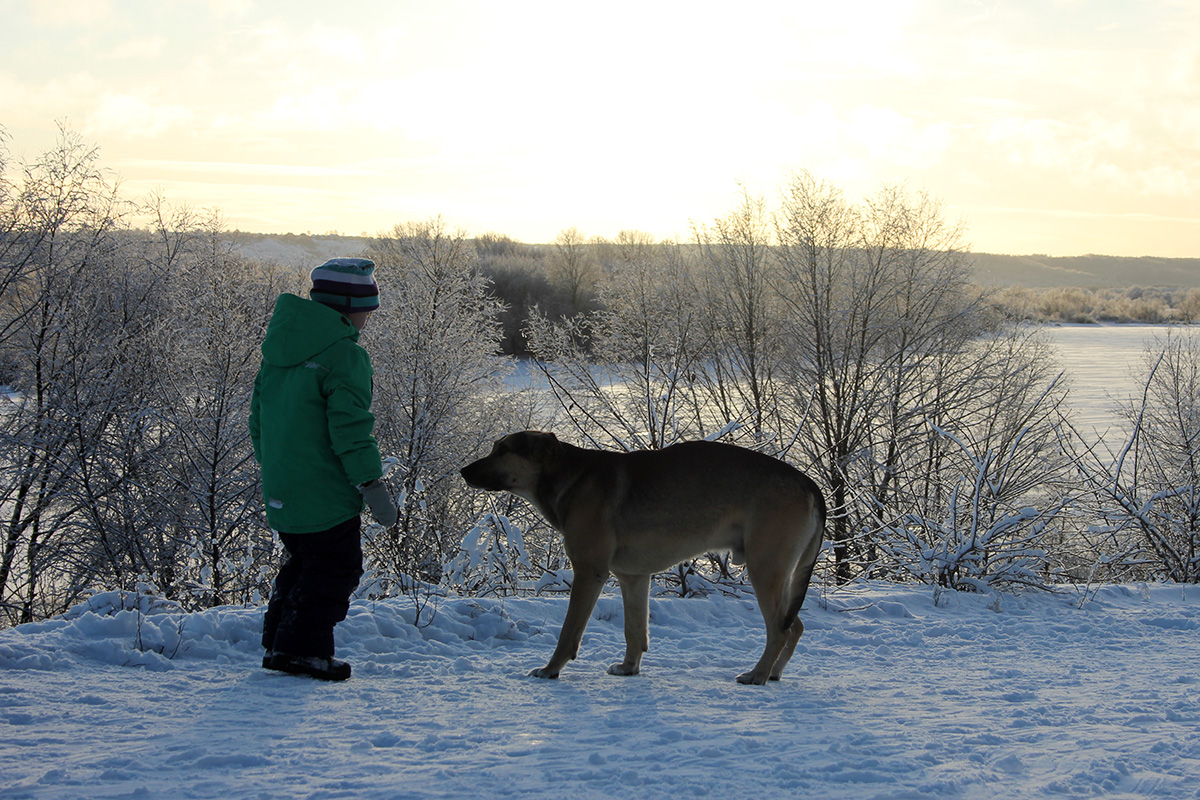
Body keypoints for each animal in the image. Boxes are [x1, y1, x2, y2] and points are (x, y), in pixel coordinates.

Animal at [458, 434, 825, 686]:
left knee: (779, 630)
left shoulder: (589, 572)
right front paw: (629, 668)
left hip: (766, 568)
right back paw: (774, 672)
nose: (463, 470)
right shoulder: (633, 577)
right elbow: (634, 630)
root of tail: (809, 482)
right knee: (795, 625)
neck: (566, 476)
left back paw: (758, 674)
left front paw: (551, 670)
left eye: (503, 450)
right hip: (779, 572)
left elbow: (569, 632)